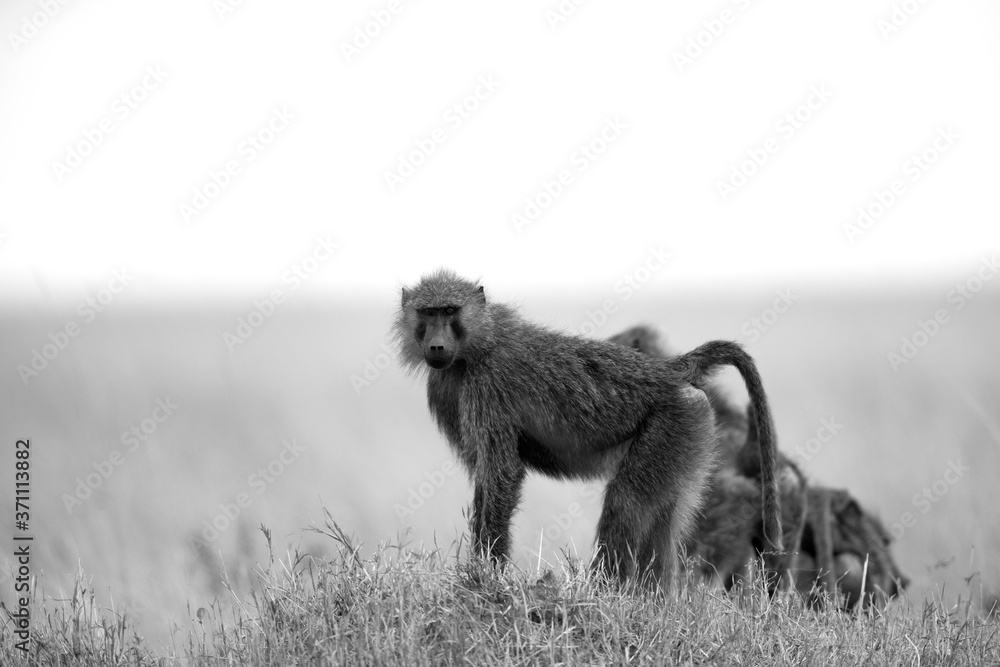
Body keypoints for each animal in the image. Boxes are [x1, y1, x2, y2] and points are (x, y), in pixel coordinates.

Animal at [394, 269, 783, 590]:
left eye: (450, 311)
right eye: (428, 313)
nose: (437, 345)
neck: (474, 348)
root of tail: (667, 371)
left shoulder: (487, 385)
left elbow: (502, 473)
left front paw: (486, 576)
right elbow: (484, 478)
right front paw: (478, 571)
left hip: (674, 421)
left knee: (626, 502)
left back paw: (602, 594)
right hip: (691, 427)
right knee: (665, 521)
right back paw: (655, 605)